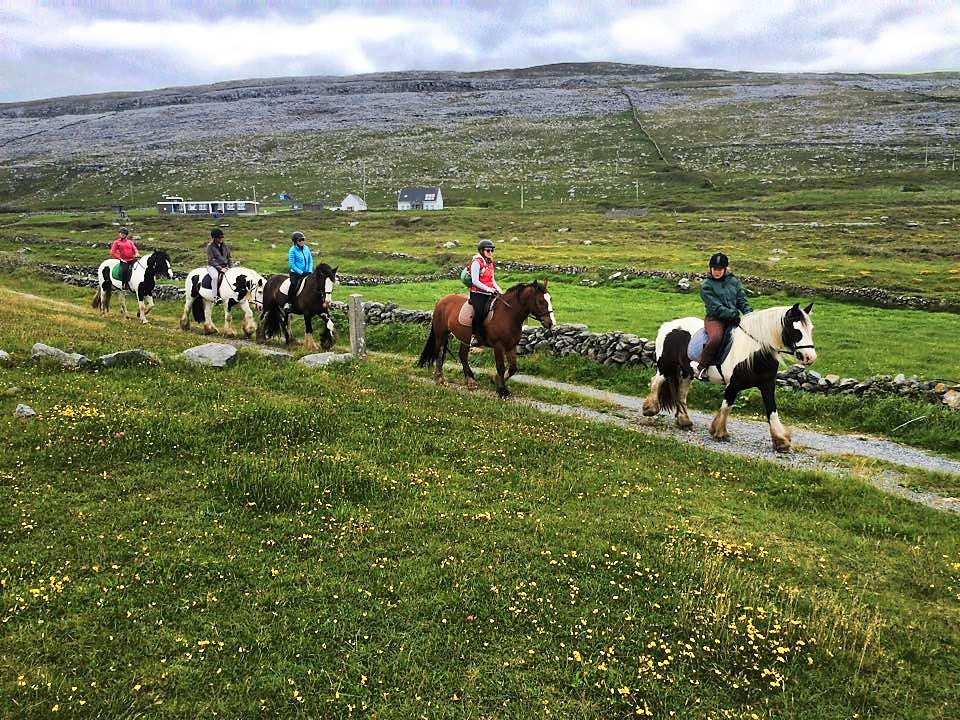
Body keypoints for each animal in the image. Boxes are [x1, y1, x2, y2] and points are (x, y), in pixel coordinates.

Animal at [418, 280, 556, 396]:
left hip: (464, 338)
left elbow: (512, 368)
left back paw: (470, 381)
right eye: (541, 301)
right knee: (439, 353)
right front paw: (502, 390)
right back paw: (440, 378)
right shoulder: (498, 346)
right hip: (441, 334)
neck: (508, 314)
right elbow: (501, 367)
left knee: (462, 356)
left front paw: (494, 380)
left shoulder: (511, 346)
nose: (551, 323)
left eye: (550, 299)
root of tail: (442, 300)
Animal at [644, 306, 816, 452]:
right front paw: (720, 432)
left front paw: (781, 441)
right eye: (795, 330)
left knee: (681, 393)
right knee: (656, 382)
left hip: (687, 372)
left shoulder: (767, 384)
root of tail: (668, 325)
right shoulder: (733, 384)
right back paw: (650, 409)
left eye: (811, 329)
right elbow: (727, 405)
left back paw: (684, 421)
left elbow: (772, 411)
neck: (754, 351)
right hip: (666, 366)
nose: (810, 357)